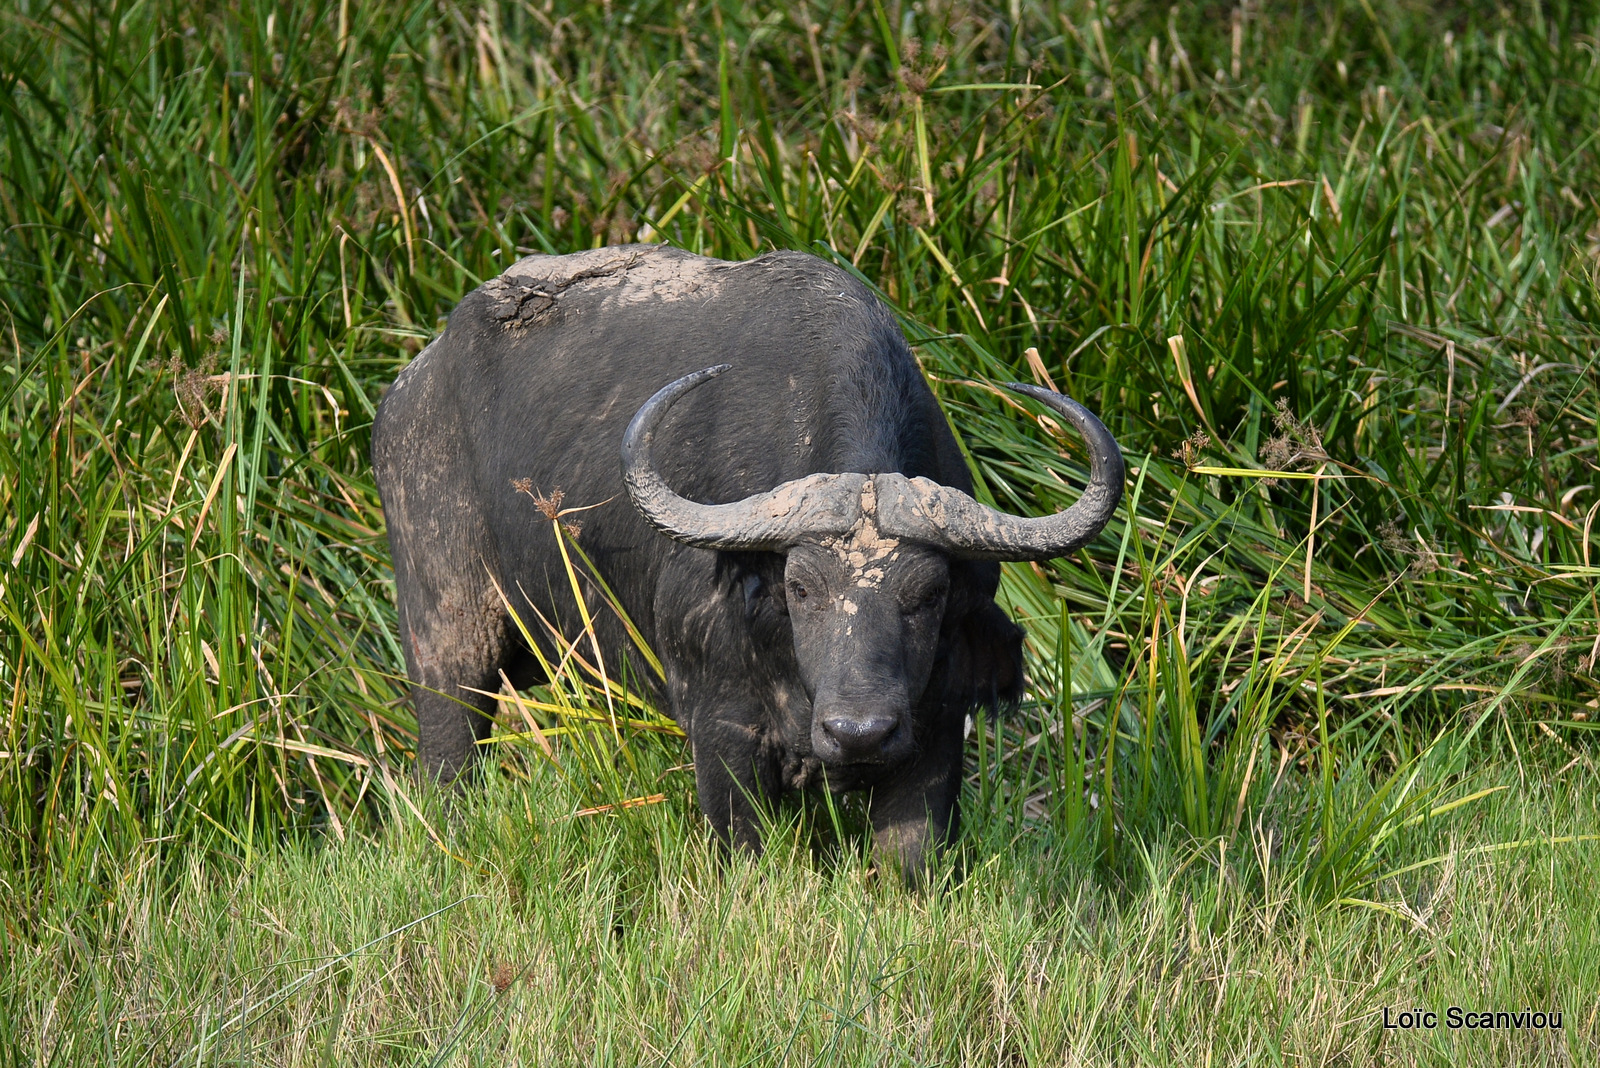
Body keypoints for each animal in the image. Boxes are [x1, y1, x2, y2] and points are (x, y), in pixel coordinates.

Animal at [374, 246, 1126, 882]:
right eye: (800, 587)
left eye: (930, 594)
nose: (858, 731)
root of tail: (412, 387)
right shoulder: (722, 731)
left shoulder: (935, 730)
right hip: (446, 637)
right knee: (449, 753)